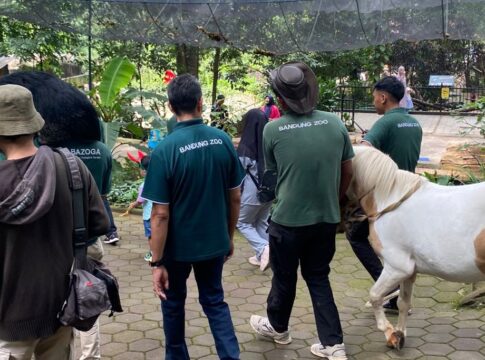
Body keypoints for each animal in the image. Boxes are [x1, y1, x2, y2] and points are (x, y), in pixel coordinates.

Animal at [346, 146, 484, 348]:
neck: (390, 202)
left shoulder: (396, 268)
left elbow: (375, 295)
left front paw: (389, 333)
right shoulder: (410, 271)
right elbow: (403, 303)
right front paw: (399, 335)